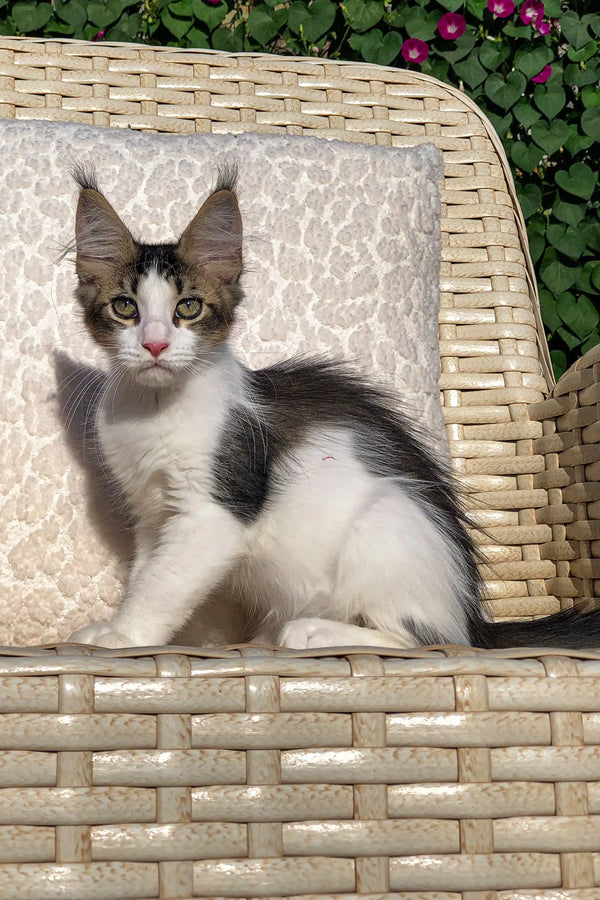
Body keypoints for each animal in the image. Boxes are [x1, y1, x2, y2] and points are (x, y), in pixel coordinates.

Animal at [71, 171, 600, 648]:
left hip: (386, 519)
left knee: (426, 640)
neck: (155, 408)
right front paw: (130, 628)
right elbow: (146, 573)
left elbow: (163, 585)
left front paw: (125, 637)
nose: (155, 345)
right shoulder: (152, 513)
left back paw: (311, 632)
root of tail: (473, 616)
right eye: (125, 308)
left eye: (188, 308)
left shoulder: (213, 511)